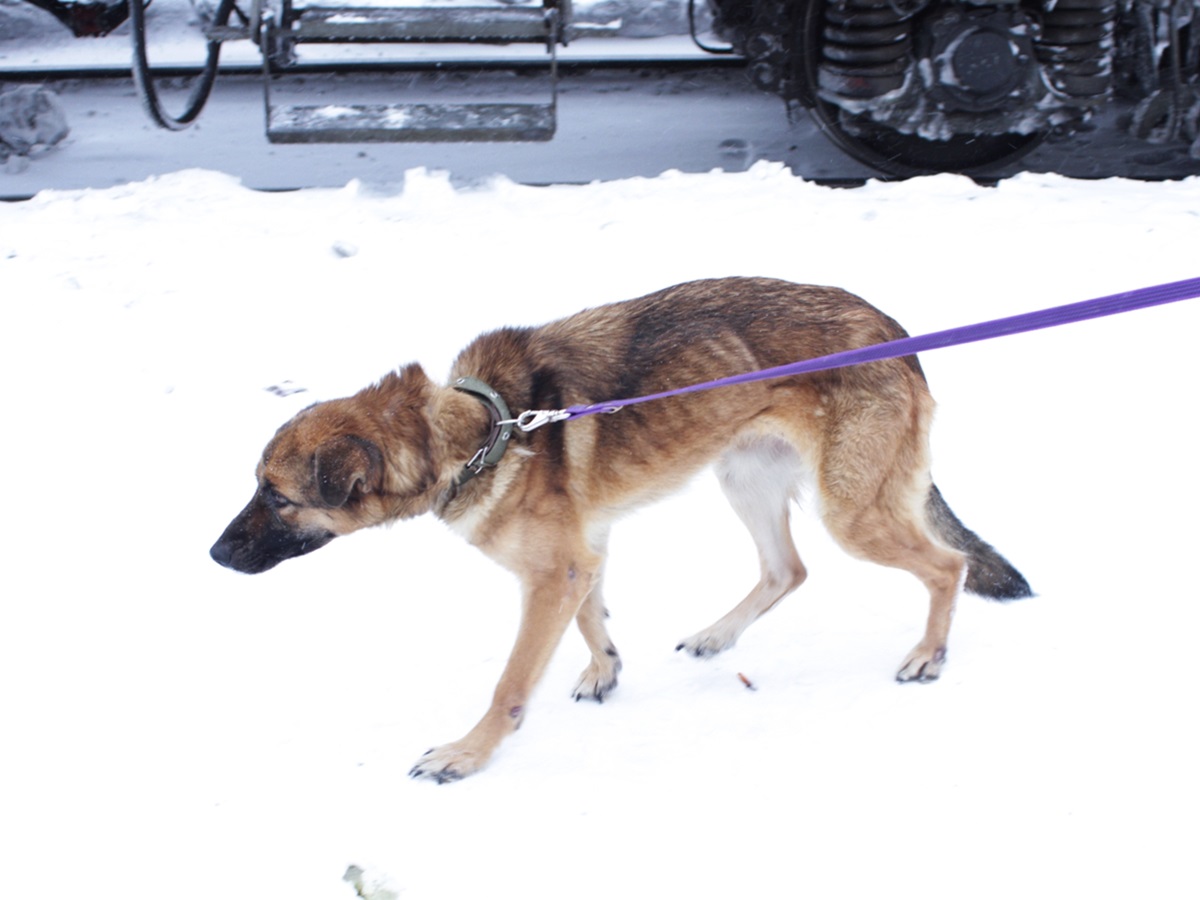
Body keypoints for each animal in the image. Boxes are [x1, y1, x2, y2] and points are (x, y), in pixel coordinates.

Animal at [211, 278, 1027, 787]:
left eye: (276, 498)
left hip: (850, 511)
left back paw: (927, 656)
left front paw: (467, 756)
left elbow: (513, 681)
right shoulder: (582, 554)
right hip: (746, 478)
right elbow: (592, 618)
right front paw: (604, 669)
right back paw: (718, 636)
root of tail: (894, 331)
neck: (482, 428)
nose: (213, 554)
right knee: (786, 569)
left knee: (947, 565)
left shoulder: (552, 573)